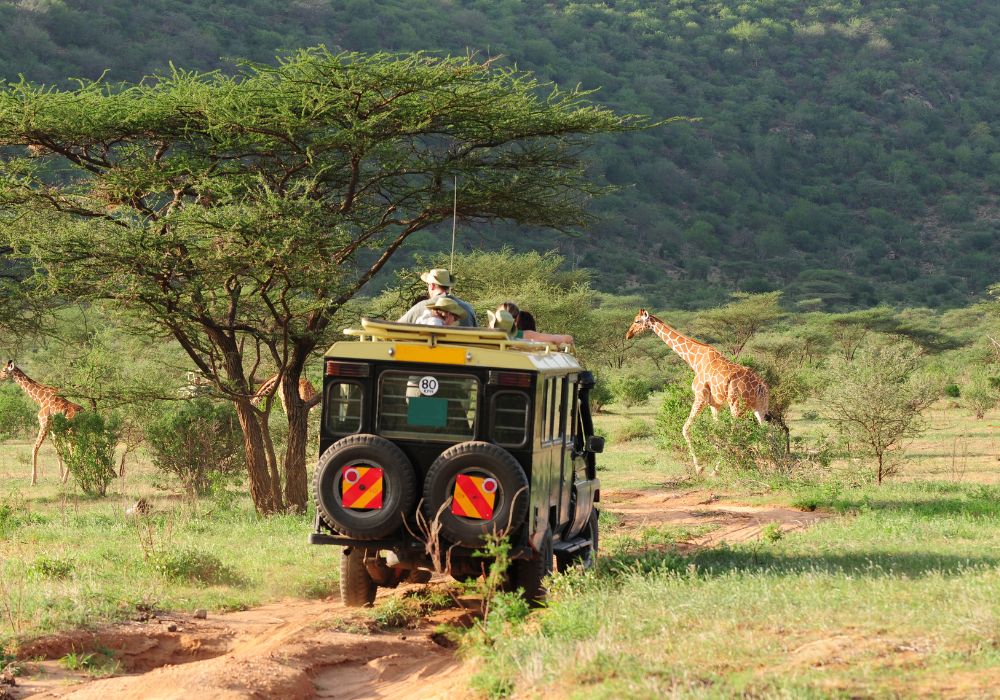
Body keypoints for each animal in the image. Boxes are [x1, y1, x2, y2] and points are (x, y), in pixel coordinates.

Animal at [624, 310, 772, 470]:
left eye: (637, 321)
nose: (628, 334)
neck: (694, 360)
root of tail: (760, 385)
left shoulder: (700, 397)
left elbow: (685, 428)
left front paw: (700, 468)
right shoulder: (716, 404)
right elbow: (717, 432)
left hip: (737, 405)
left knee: (736, 432)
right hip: (760, 407)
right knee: (767, 432)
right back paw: (770, 466)